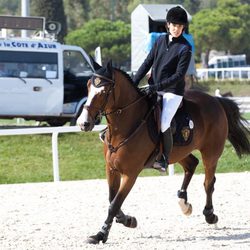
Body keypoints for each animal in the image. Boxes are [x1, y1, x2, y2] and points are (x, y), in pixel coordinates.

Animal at [76, 61, 250, 244]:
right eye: (88, 87)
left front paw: (101, 234)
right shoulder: (111, 169)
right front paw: (128, 220)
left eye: (103, 92)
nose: (83, 123)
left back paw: (210, 215)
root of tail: (215, 100)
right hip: (177, 153)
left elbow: (114, 204)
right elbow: (112, 200)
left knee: (208, 182)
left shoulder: (130, 174)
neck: (124, 127)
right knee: (192, 165)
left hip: (211, 153)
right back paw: (184, 203)